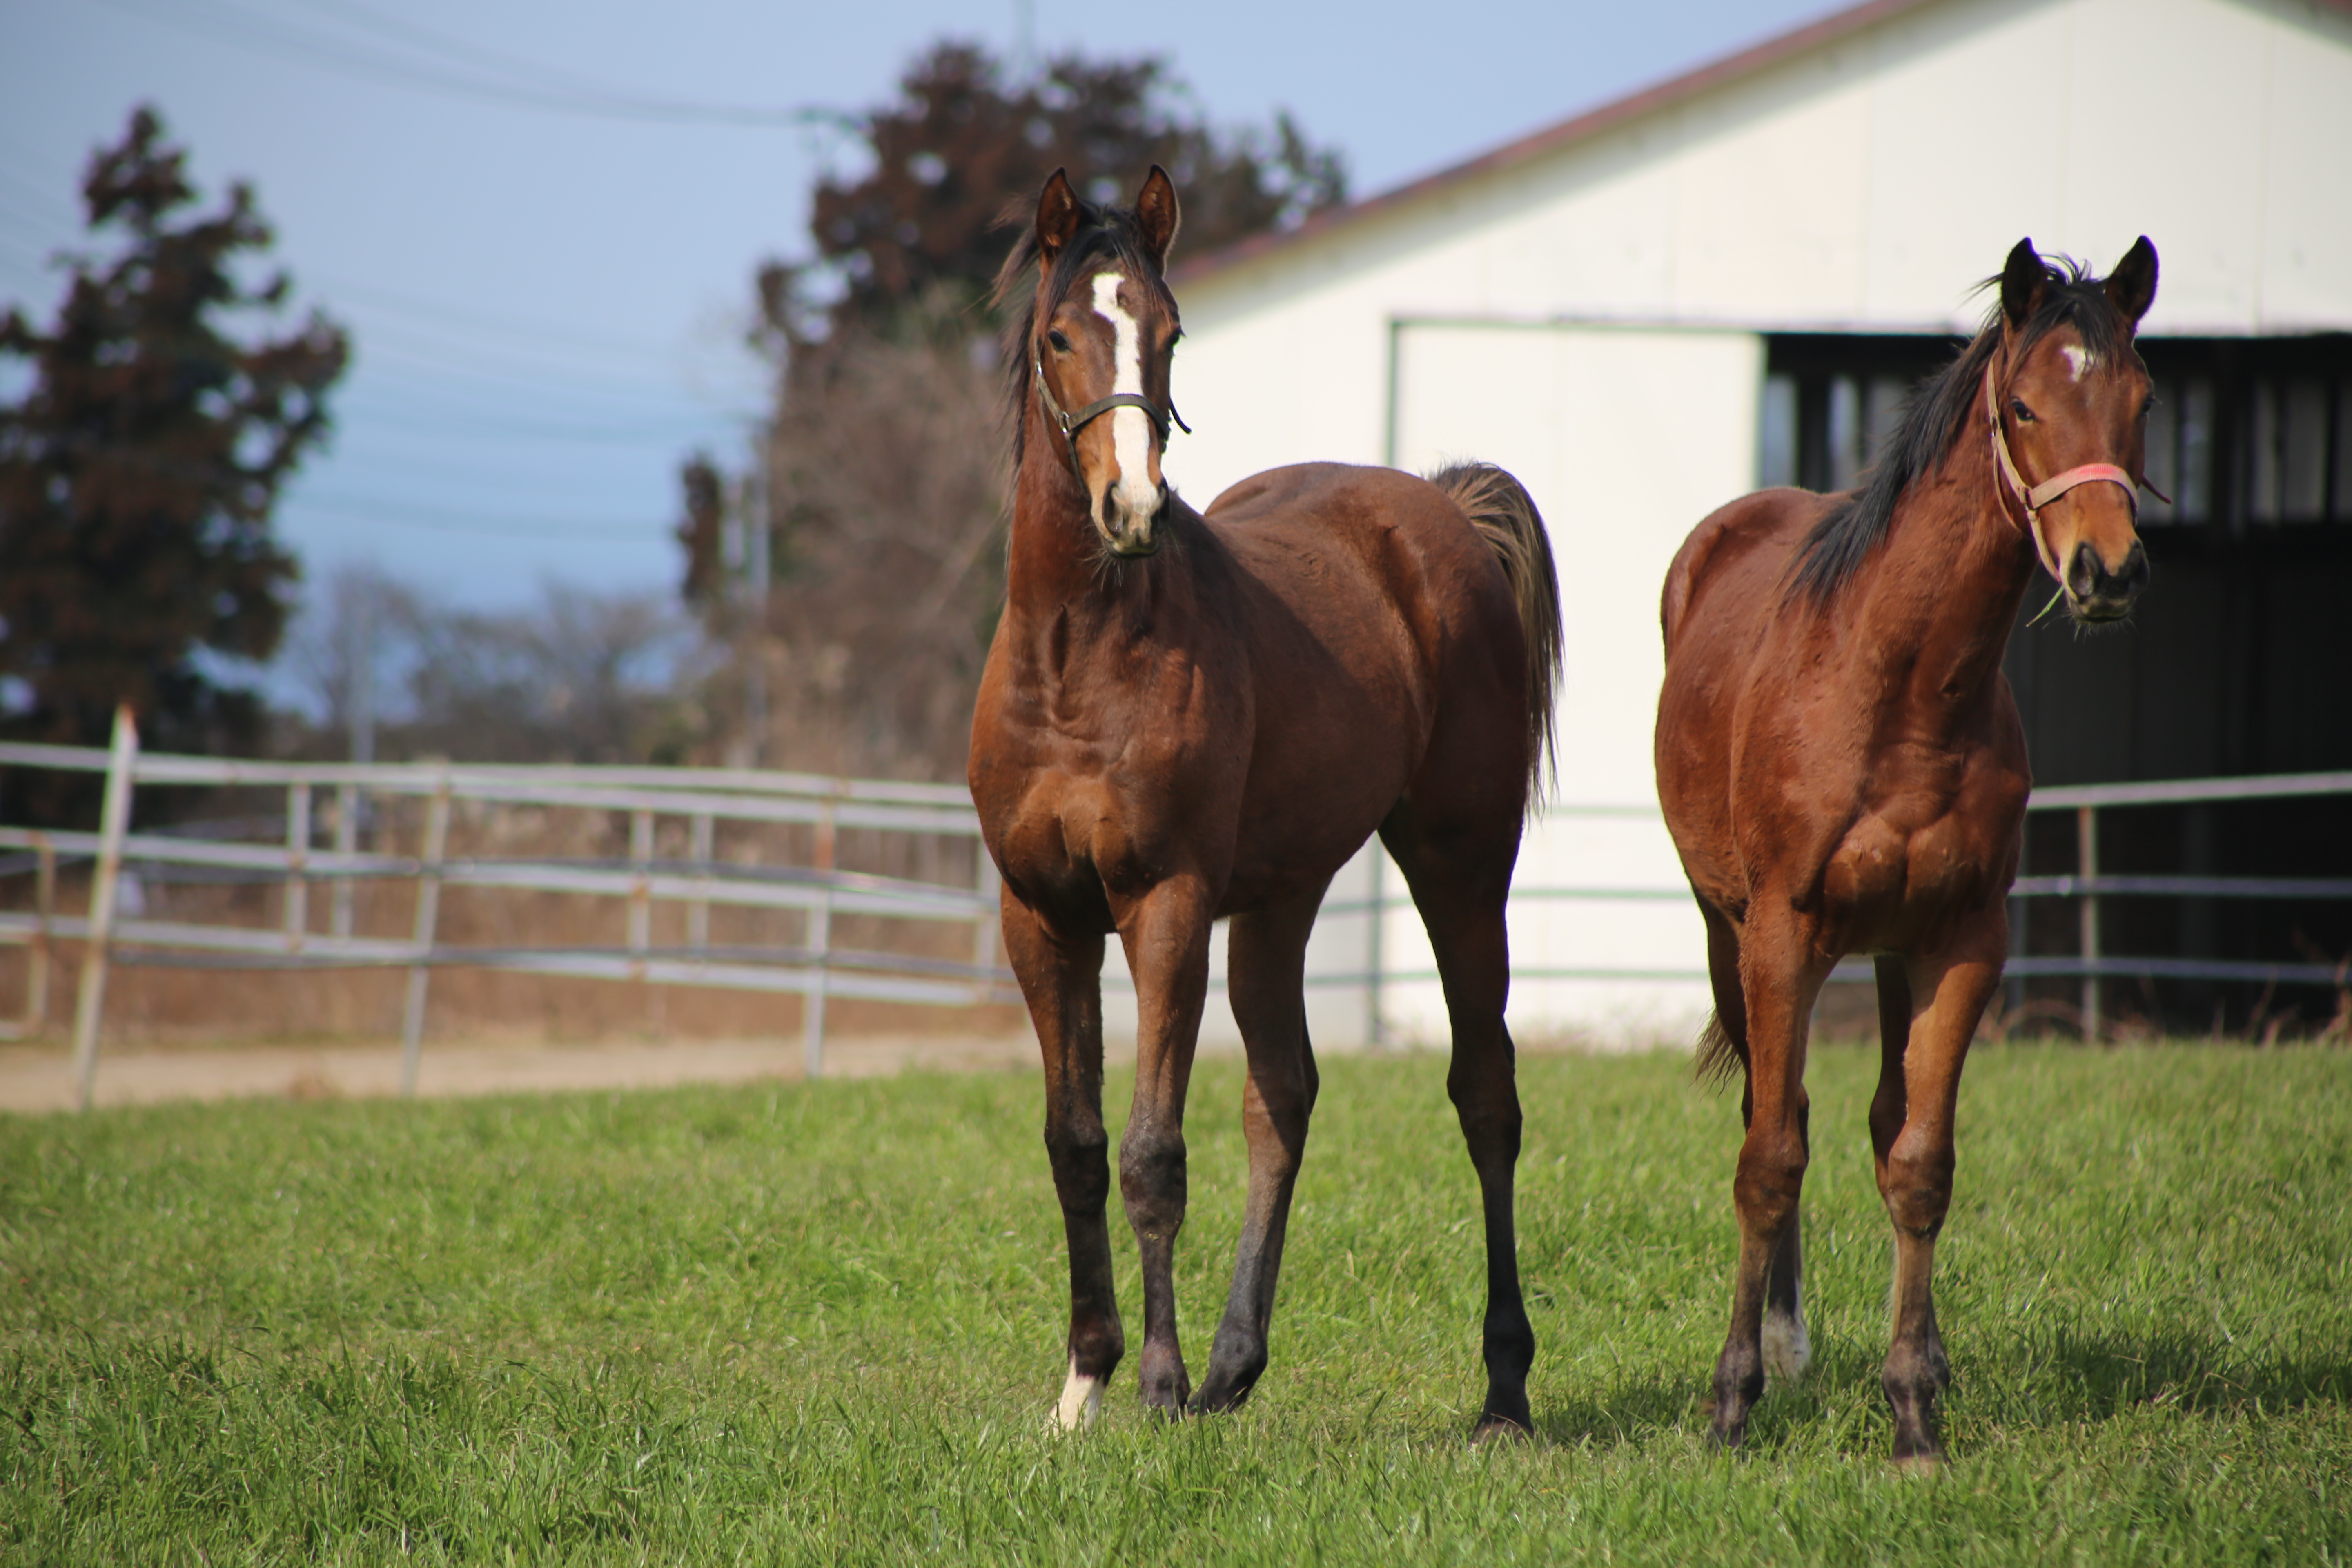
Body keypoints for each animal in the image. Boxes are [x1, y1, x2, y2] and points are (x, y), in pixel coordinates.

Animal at [969, 169, 1561, 1439]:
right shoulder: (1040, 915)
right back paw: (1233, 1369)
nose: (1131, 508)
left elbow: (1151, 1152)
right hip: (1279, 902)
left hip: (1457, 866)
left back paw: (1502, 1389)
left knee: (1484, 1095)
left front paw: (1151, 1383)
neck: (1075, 659)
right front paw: (1085, 1383)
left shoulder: (1162, 907)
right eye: (1059, 337)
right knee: (1280, 1099)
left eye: (1170, 332)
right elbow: (1075, 1143)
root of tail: (1436, 515)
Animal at [1656, 240, 2154, 1467]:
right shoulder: (1780, 933)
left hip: (1887, 951)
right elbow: (1770, 1157)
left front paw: (1914, 1410)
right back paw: (1779, 1346)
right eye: (2023, 407)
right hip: (1727, 936)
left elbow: (1918, 1162)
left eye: (2141, 403)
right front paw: (1731, 1398)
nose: (2106, 570)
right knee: (1770, 1114)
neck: (1900, 692)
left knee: (1881, 1126)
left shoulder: (1962, 939)